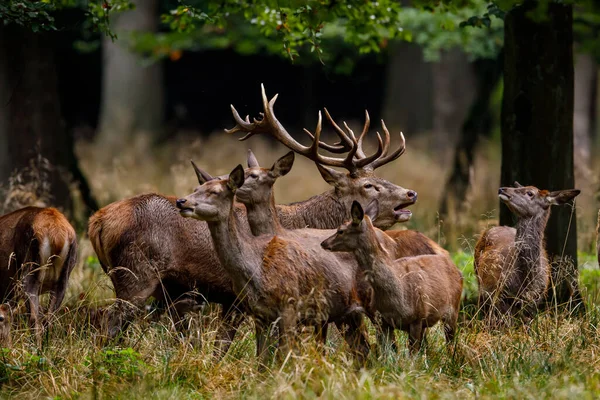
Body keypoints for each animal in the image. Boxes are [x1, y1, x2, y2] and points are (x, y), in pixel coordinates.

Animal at [88, 84, 426, 356]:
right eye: (369, 185)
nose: (411, 193)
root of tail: (97, 221)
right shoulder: (239, 298)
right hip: (135, 275)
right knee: (109, 324)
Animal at [322, 202, 462, 352]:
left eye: (340, 230)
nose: (323, 243)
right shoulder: (383, 321)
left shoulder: (417, 318)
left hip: (453, 311)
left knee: (450, 346)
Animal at [474, 183, 580, 324]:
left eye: (530, 193)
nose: (502, 189)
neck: (525, 280)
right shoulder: (500, 293)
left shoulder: (536, 297)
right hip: (480, 279)